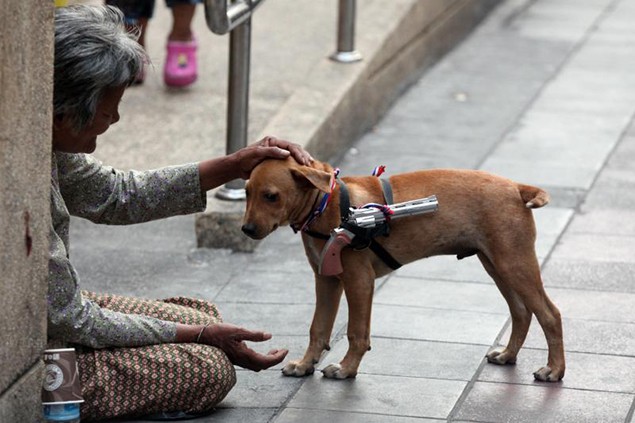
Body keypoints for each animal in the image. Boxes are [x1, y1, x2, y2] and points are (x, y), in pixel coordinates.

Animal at [242, 157, 568, 382]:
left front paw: (347, 369)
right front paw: (305, 364)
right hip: (496, 265)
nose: (246, 230)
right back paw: (508, 355)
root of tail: (516, 187)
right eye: (246, 192)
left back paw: (554, 370)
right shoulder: (326, 280)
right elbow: (317, 328)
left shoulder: (359, 281)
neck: (328, 203)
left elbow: (356, 332)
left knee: (550, 314)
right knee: (522, 312)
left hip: (515, 264)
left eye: (271, 196)